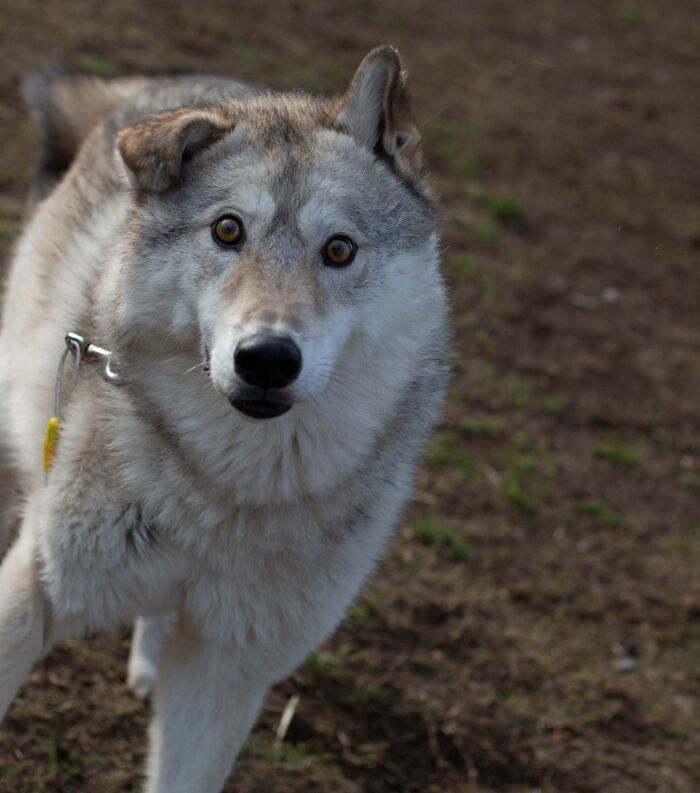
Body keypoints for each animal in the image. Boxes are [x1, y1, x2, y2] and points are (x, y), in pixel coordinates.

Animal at [0, 46, 449, 792]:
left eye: (339, 249)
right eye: (228, 230)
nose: (267, 358)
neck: (226, 489)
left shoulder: (228, 673)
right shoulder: (33, 595)